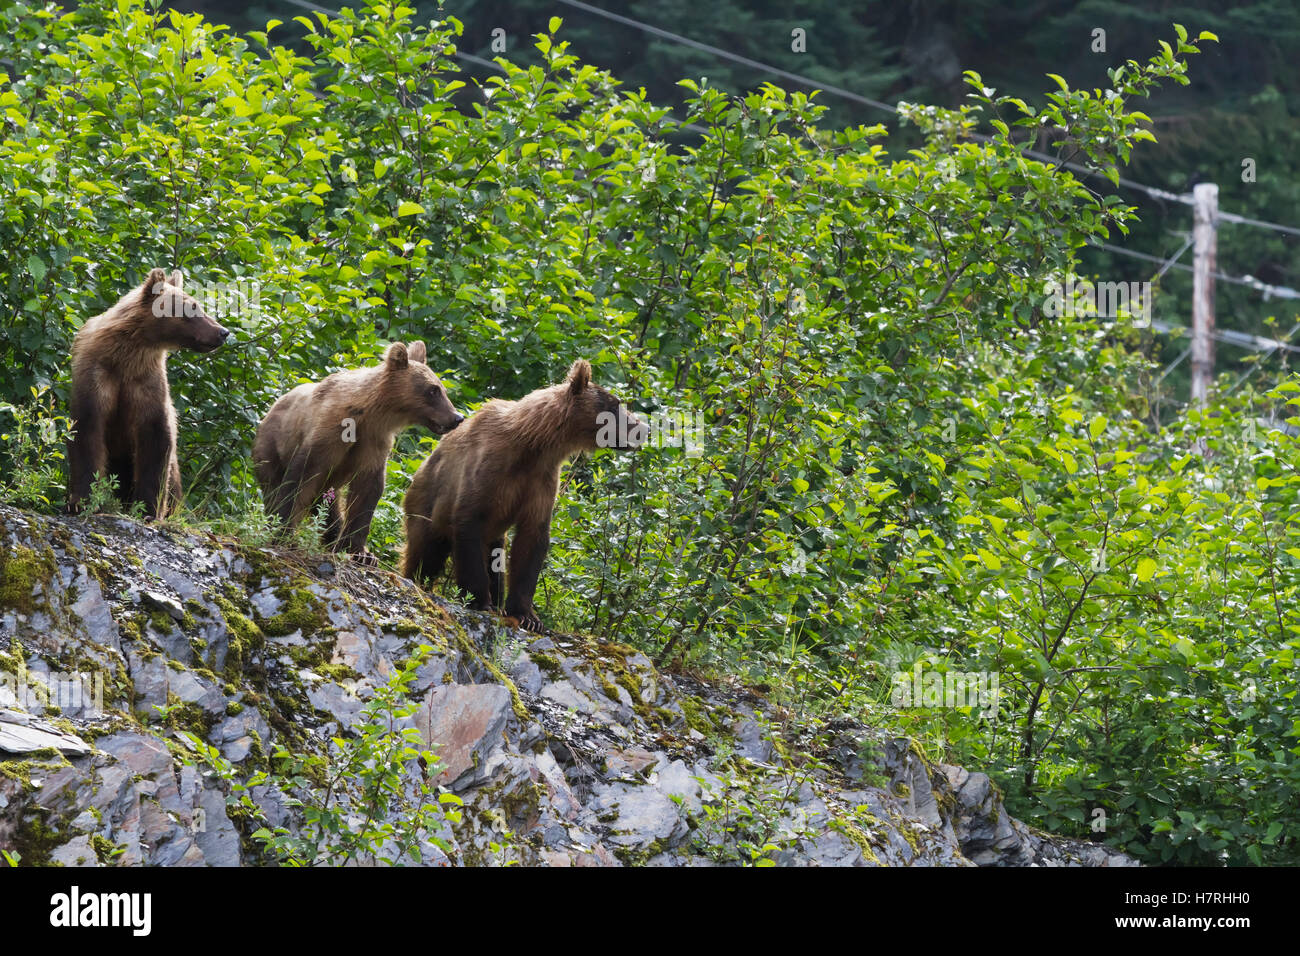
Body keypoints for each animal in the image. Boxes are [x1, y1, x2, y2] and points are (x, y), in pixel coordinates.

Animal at [67, 268, 230, 519]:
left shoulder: (146, 382)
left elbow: (155, 438)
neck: (128, 354)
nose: (223, 332)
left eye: (198, 305)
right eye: (192, 307)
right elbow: (87, 429)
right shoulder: (97, 375)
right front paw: (81, 501)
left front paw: (148, 508)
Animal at [253, 341, 463, 563]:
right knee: (274, 487)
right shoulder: (327, 435)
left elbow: (367, 490)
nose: (457, 417)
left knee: (328, 505)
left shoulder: (373, 443)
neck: (370, 414)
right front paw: (282, 534)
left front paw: (360, 552)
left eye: (441, 388)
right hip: (270, 449)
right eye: (433, 390)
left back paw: (332, 538)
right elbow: (299, 478)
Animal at [401, 359, 645, 631]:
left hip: (494, 534)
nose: (643, 428)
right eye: (614, 404)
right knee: (425, 552)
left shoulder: (541, 481)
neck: (534, 444)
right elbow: (469, 521)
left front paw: (527, 615)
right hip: (427, 504)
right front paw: (481, 601)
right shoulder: (489, 470)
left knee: (495, 561)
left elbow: (532, 539)